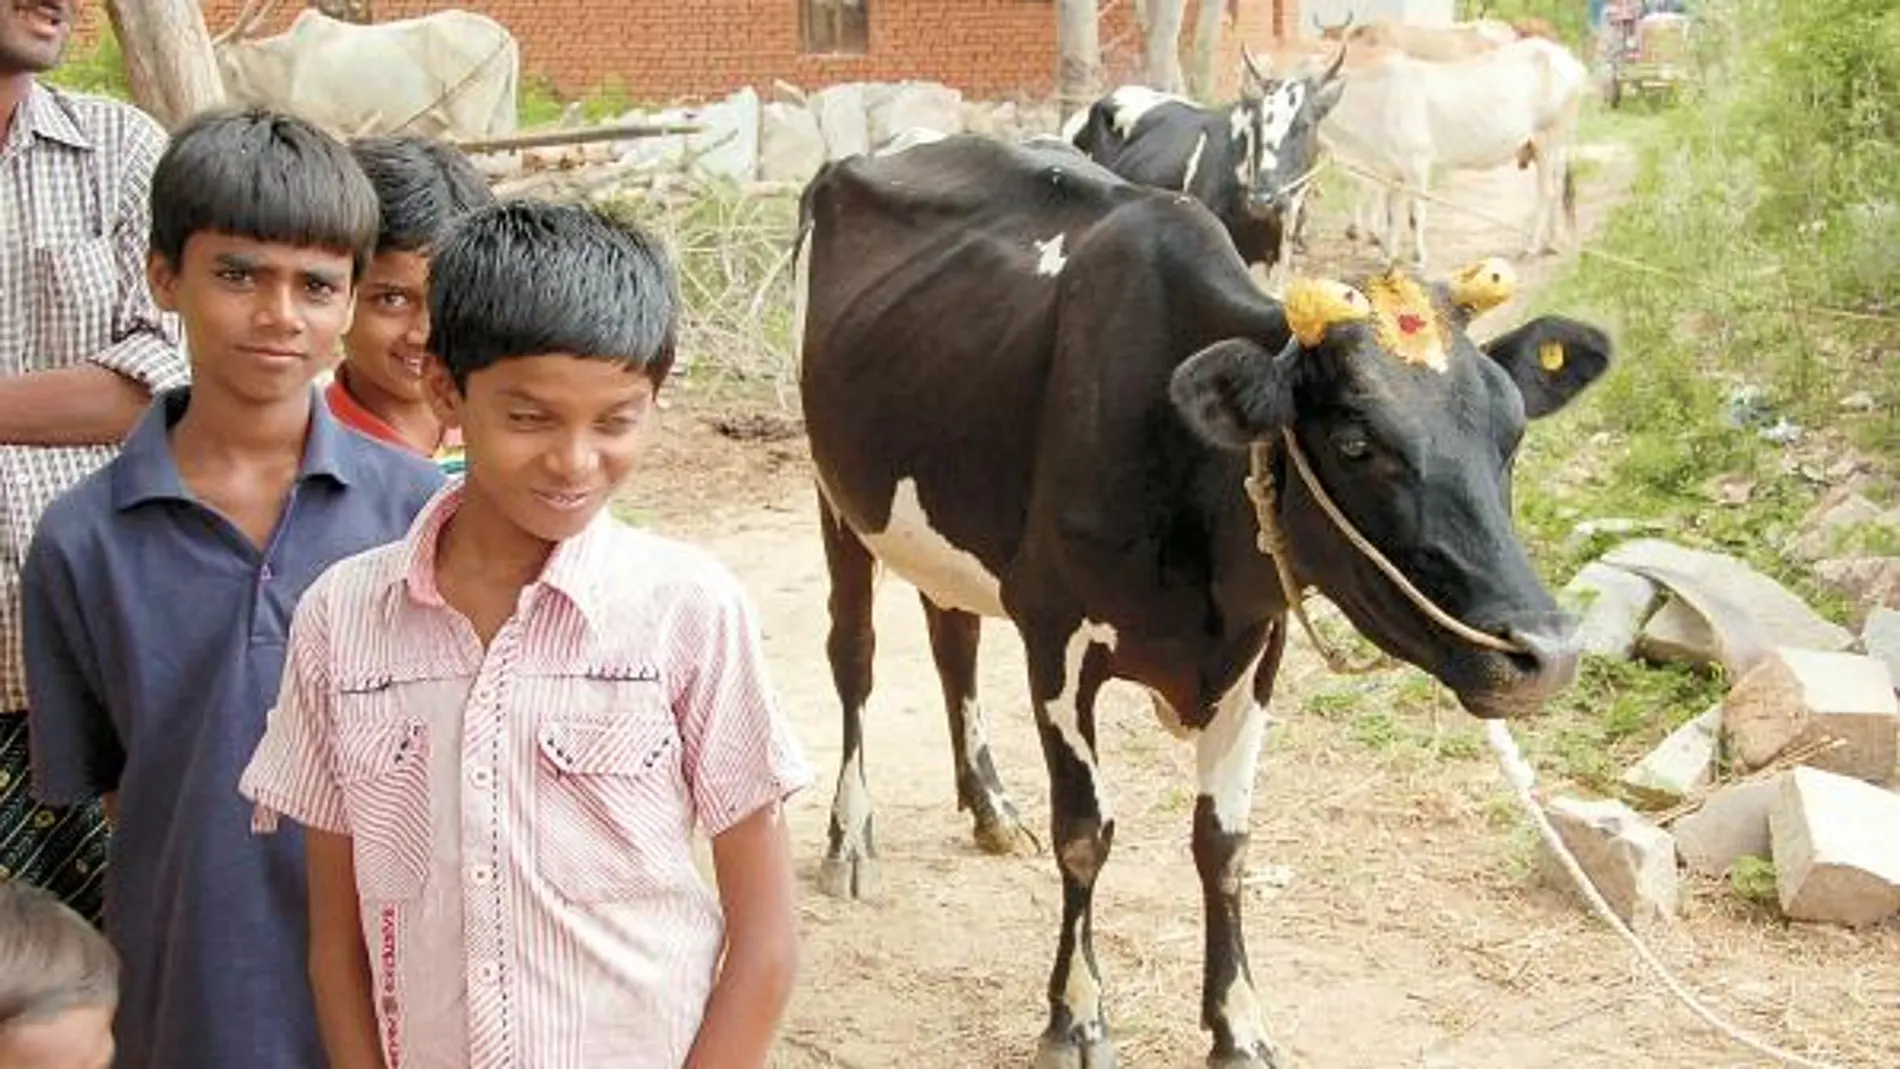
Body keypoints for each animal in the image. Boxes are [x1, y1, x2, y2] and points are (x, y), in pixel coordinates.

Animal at [794, 135, 1611, 1069]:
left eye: (1512, 436)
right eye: (1356, 443)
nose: (1548, 652)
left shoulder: (1257, 644)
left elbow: (1223, 841)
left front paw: (1239, 1024)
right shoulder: (1056, 637)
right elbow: (1087, 833)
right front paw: (1077, 1016)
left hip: (939, 521)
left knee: (951, 637)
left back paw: (992, 808)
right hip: (835, 492)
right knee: (854, 656)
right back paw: (849, 836)